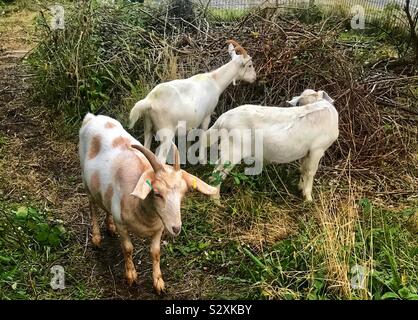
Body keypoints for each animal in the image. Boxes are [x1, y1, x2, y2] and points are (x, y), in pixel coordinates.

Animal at [77, 113, 219, 296]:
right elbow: (128, 248)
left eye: (183, 194)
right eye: (157, 193)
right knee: (92, 207)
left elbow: (155, 253)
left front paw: (158, 282)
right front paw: (131, 275)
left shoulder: (159, 228)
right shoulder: (122, 223)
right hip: (85, 180)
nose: (176, 228)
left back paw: (109, 226)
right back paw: (96, 238)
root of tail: (92, 117)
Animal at [206, 89, 340, 201]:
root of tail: (223, 119)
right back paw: (216, 201)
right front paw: (308, 198)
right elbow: (310, 172)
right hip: (233, 150)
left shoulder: (306, 152)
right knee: (218, 172)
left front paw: (300, 189)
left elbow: (303, 169)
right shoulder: (317, 150)